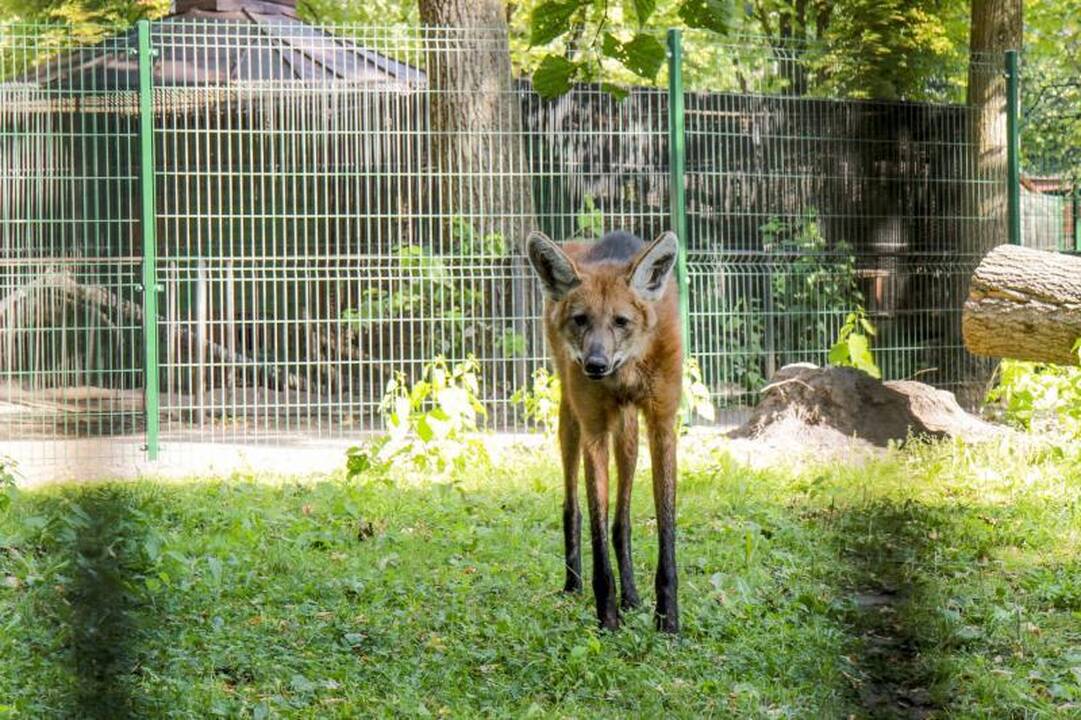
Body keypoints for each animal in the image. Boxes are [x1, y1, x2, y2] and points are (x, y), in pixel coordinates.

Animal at [525, 228, 683, 627]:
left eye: (621, 321)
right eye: (581, 319)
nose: (595, 364)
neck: (626, 370)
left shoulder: (662, 424)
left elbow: (665, 529)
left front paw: (668, 621)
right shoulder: (594, 429)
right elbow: (596, 525)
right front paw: (607, 619)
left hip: (628, 433)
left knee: (621, 520)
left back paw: (632, 596)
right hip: (571, 419)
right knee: (573, 506)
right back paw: (573, 584)